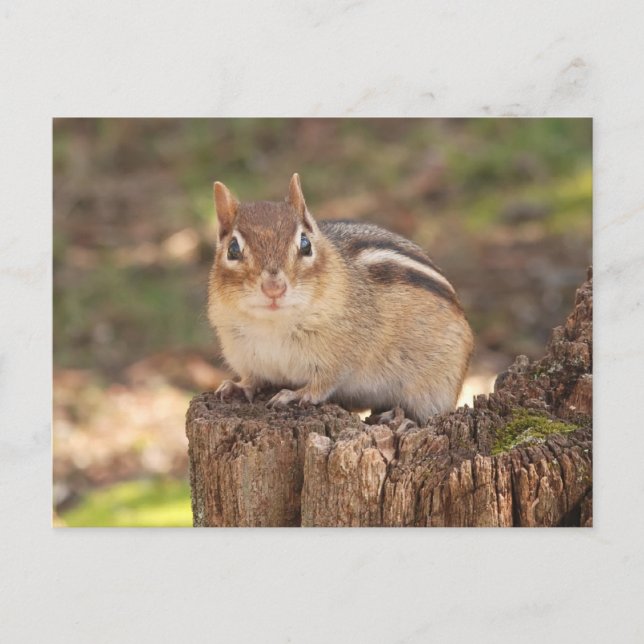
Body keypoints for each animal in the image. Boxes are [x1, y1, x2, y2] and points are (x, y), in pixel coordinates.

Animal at [207, 173, 474, 426]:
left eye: (305, 244)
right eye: (232, 249)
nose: (274, 288)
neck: (272, 325)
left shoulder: (339, 356)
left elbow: (324, 383)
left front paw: (296, 394)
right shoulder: (244, 355)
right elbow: (253, 377)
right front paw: (238, 386)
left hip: (435, 387)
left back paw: (401, 419)